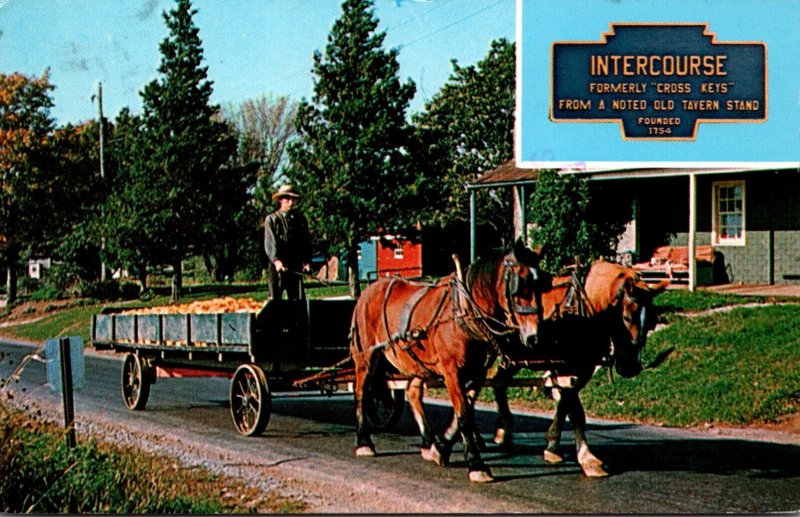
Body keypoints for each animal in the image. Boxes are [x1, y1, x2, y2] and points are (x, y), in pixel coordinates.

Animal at [350, 240, 552, 482]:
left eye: (543, 286)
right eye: (518, 286)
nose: (535, 337)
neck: (464, 311)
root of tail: (367, 291)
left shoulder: (477, 373)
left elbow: (465, 412)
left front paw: (441, 448)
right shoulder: (452, 372)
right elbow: (463, 414)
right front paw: (476, 464)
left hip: (418, 362)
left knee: (412, 392)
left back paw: (428, 442)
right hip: (366, 356)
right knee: (362, 392)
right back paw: (364, 441)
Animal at [406, 260, 668, 478]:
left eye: (652, 320)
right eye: (627, 317)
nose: (631, 366)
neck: (583, 307)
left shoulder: (579, 368)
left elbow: (567, 404)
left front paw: (553, 446)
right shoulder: (567, 367)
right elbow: (575, 410)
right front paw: (588, 459)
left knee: (489, 384)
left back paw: (483, 433)